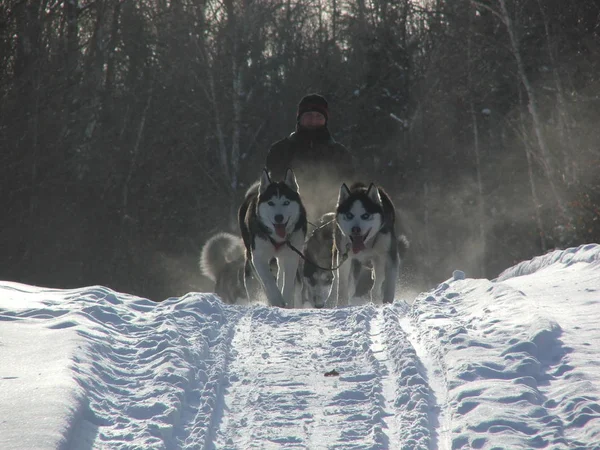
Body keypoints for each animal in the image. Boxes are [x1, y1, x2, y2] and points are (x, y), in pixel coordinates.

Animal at [238, 167, 308, 308]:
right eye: (270, 203)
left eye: (286, 202)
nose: (279, 217)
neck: (277, 238)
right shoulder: (258, 258)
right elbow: (268, 282)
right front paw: (276, 300)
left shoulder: (291, 256)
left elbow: (288, 283)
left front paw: (286, 300)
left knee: (281, 272)